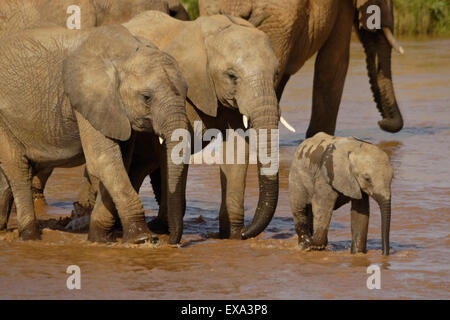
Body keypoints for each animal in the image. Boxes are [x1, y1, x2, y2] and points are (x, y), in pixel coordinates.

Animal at [0, 25, 189, 244]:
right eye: (146, 97)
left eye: (187, 92)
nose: (172, 240)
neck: (125, 52)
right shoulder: (88, 100)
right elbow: (104, 161)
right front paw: (143, 239)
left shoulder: (117, 111)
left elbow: (120, 161)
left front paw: (100, 239)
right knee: (18, 171)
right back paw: (30, 237)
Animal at [66, 11, 284, 240]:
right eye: (232, 76)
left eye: (276, 73)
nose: (246, 234)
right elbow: (174, 149)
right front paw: (165, 229)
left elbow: (235, 150)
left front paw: (231, 236)